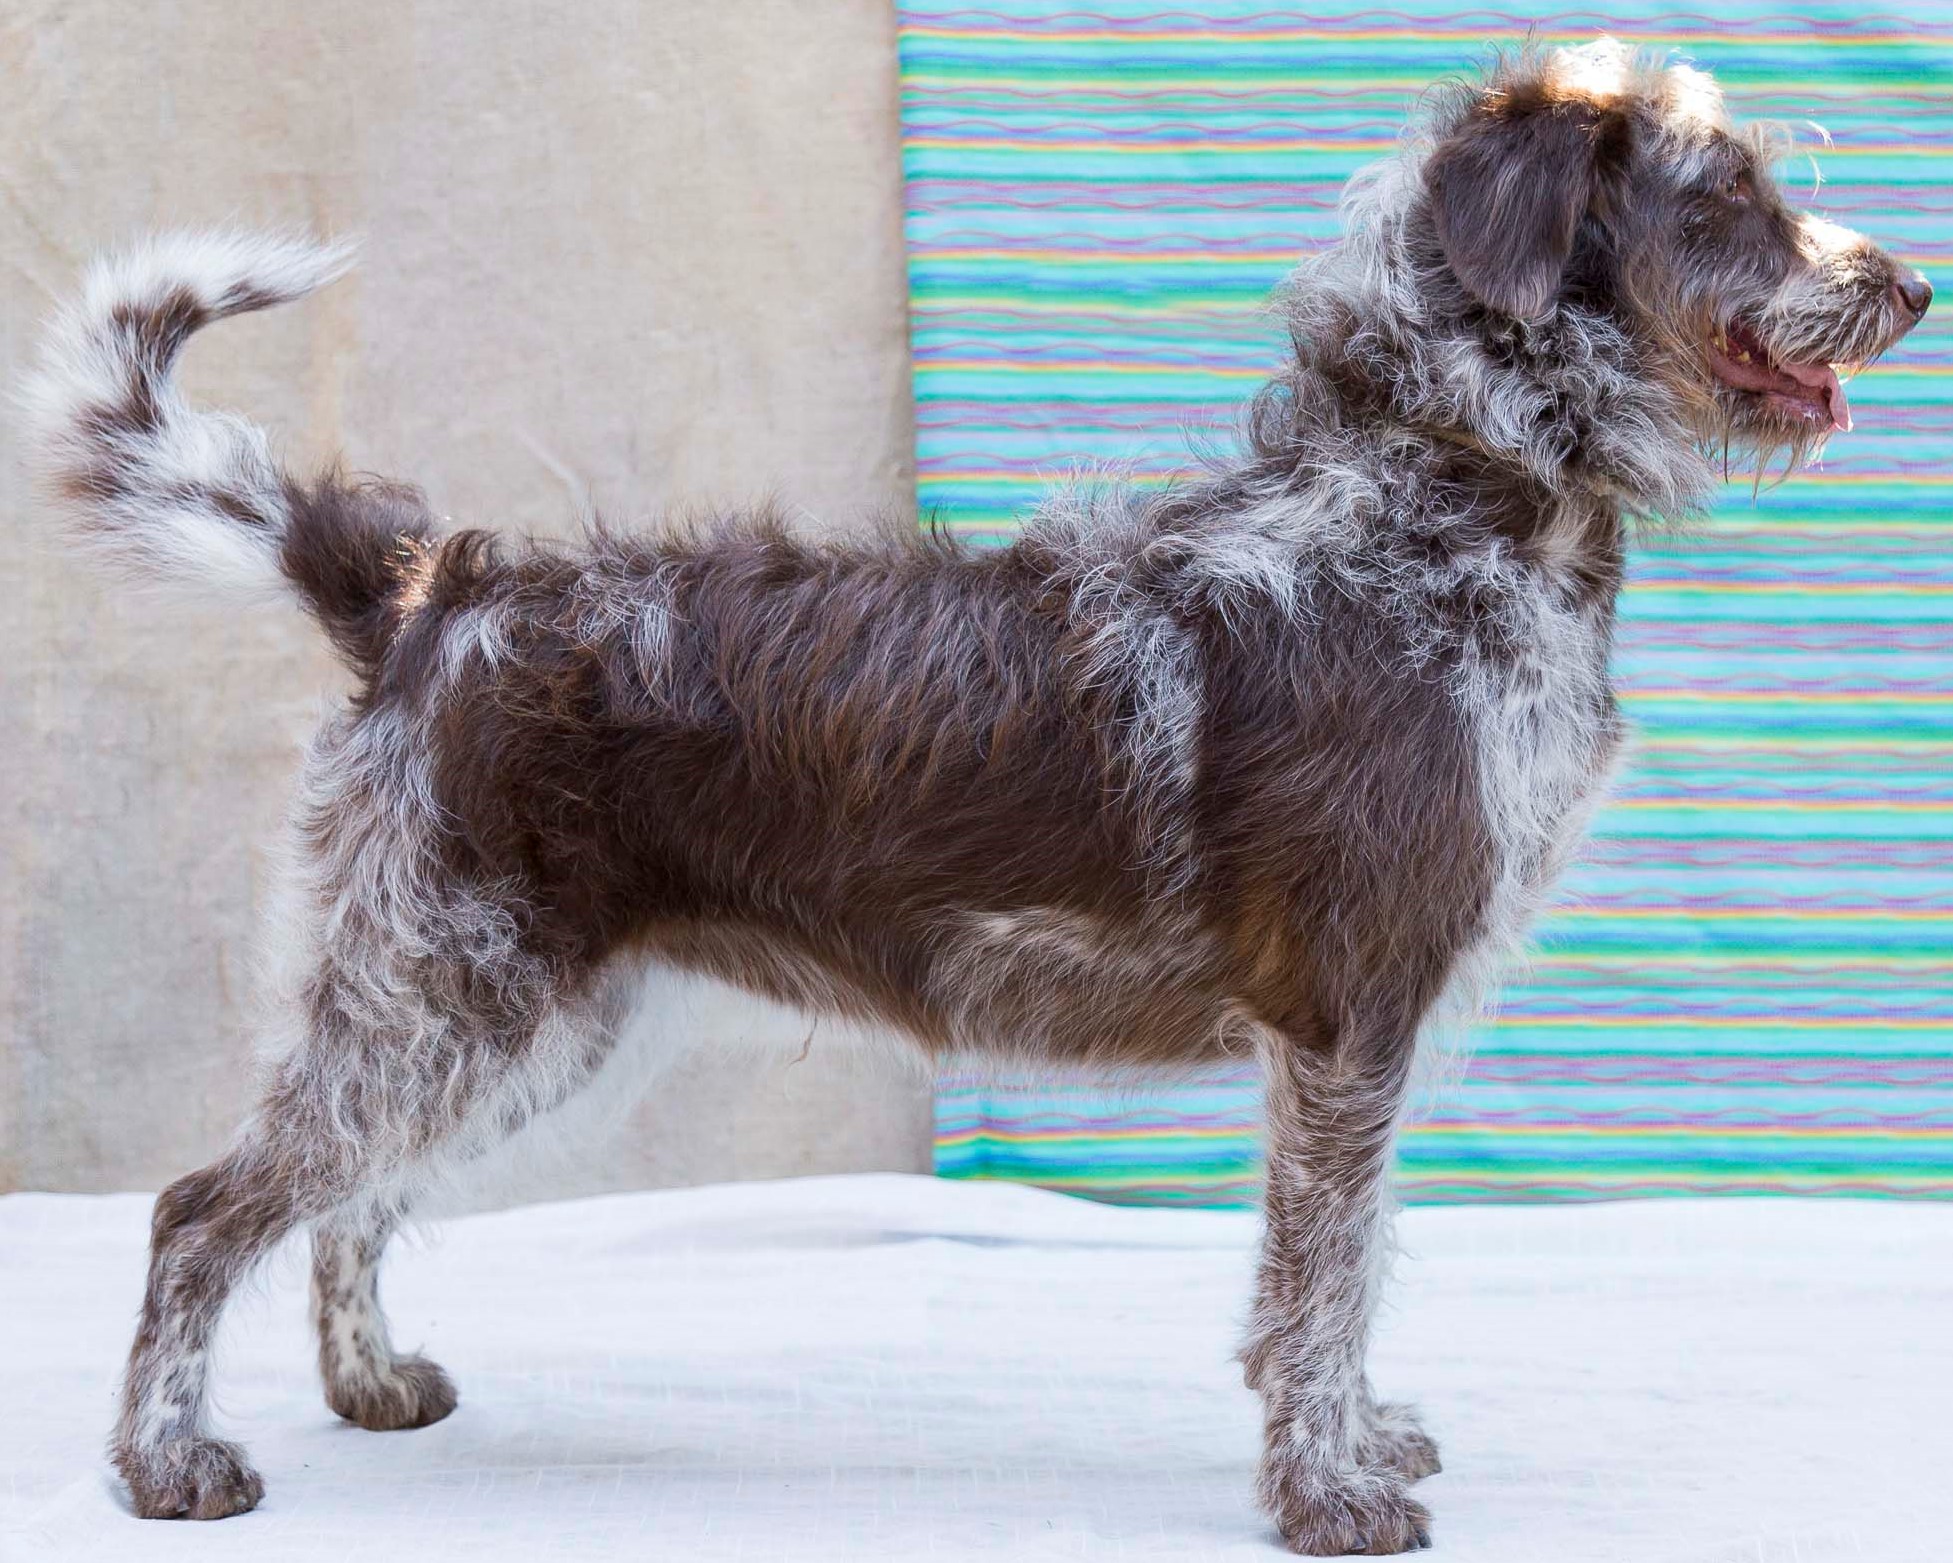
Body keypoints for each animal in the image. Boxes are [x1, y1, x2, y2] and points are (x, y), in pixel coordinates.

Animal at [22, 33, 1929, 1547]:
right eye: (1721, 198)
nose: (1908, 284)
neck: (1437, 486)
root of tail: (426, 591)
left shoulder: (1354, 1035)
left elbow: (1348, 1271)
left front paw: (1358, 1444)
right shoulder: (1347, 1019)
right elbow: (1321, 1277)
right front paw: (1325, 1492)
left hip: (506, 1006)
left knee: (341, 1198)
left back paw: (369, 1382)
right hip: (451, 983)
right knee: (209, 1206)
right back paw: (169, 1463)